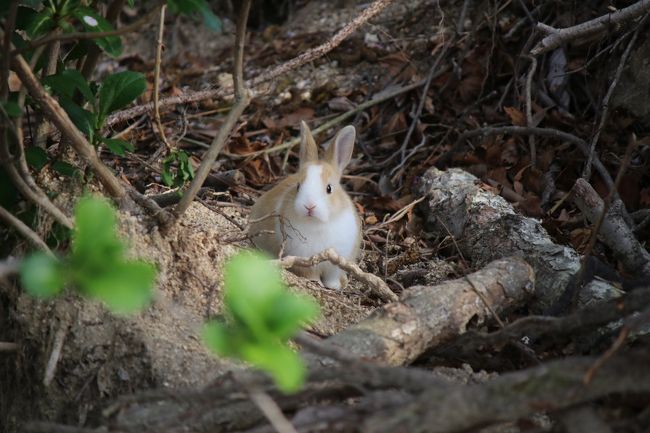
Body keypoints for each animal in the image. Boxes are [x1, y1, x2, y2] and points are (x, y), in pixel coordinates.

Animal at [247, 120, 360, 290]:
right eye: (298, 186)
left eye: (329, 188)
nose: (309, 206)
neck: (317, 223)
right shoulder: (304, 260)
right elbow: (310, 274)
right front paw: (316, 282)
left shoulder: (336, 262)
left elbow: (332, 276)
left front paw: (334, 286)